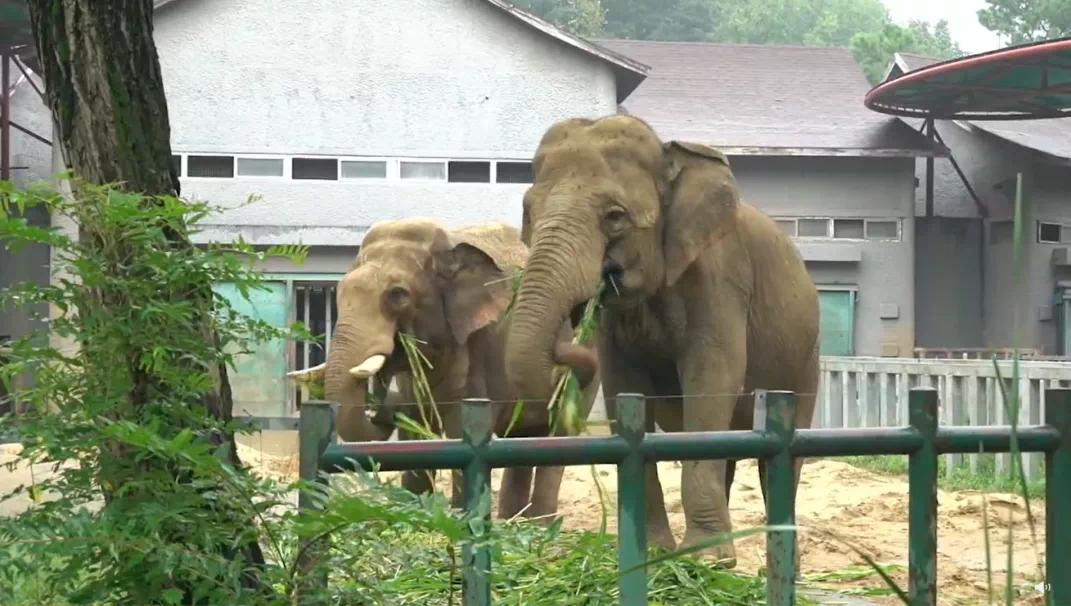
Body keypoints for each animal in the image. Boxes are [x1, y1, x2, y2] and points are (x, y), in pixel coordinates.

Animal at [289, 219, 599, 526]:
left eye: (398, 295)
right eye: (339, 293)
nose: (382, 405)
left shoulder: (478, 343)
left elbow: (460, 430)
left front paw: (460, 519)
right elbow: (413, 435)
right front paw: (414, 515)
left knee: (558, 438)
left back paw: (540, 525)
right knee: (521, 441)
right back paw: (514, 522)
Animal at [501, 114, 818, 569]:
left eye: (615, 216)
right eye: (528, 212)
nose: (578, 319)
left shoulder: (721, 278)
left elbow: (712, 378)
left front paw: (706, 560)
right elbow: (624, 387)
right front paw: (656, 553)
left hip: (807, 361)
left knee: (779, 462)